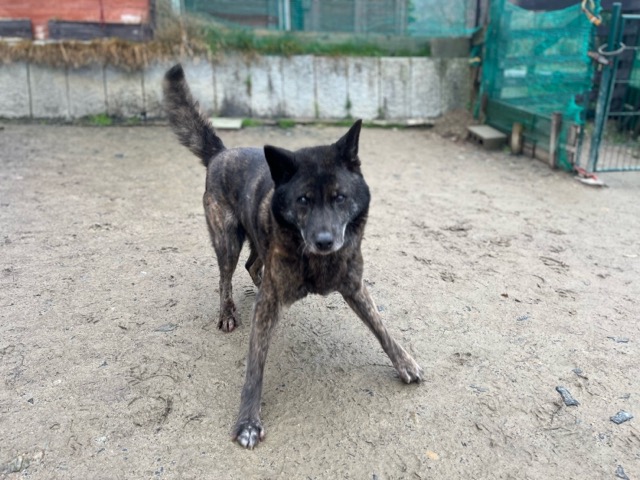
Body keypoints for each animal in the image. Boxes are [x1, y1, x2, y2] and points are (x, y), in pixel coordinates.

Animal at [163, 64, 422, 449]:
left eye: (340, 197)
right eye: (303, 200)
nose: (325, 241)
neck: (316, 260)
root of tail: (221, 152)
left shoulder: (354, 286)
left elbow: (381, 327)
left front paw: (403, 362)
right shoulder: (270, 303)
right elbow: (255, 365)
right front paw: (248, 421)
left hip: (257, 243)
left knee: (252, 264)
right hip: (227, 240)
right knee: (226, 277)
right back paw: (227, 312)